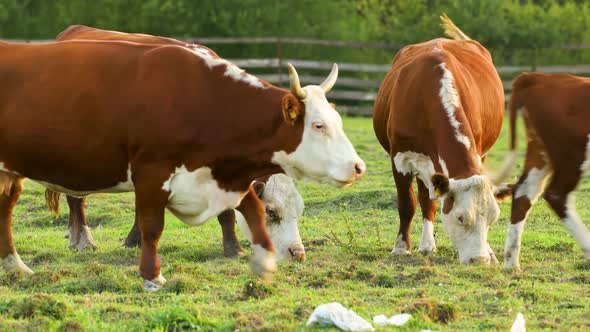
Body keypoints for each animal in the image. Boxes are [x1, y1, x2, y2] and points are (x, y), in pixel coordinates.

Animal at [0, 37, 366, 290]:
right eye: (318, 125)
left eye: (337, 120)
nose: (358, 167)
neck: (201, 99)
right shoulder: (152, 173)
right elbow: (152, 227)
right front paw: (152, 276)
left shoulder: (222, 175)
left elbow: (249, 209)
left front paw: (264, 261)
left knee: (6, 208)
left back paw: (14, 265)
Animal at [374, 14, 508, 264]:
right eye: (461, 217)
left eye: (493, 219)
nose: (479, 260)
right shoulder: (400, 158)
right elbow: (407, 204)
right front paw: (400, 247)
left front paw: (490, 252)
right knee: (425, 199)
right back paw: (425, 244)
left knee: (429, 199)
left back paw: (428, 244)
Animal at [502, 72, 590, 270]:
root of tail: (541, 77)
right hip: (570, 155)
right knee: (556, 194)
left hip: (539, 150)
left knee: (523, 192)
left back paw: (511, 262)